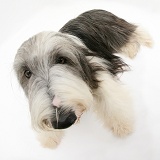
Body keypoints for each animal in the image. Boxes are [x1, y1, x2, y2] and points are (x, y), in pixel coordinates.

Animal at [13, 9, 152, 148]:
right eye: (27, 73)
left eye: (61, 60)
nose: (63, 121)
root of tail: (93, 10)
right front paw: (49, 137)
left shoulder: (97, 69)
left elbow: (111, 99)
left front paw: (122, 124)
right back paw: (132, 48)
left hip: (114, 31)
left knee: (133, 30)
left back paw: (147, 41)